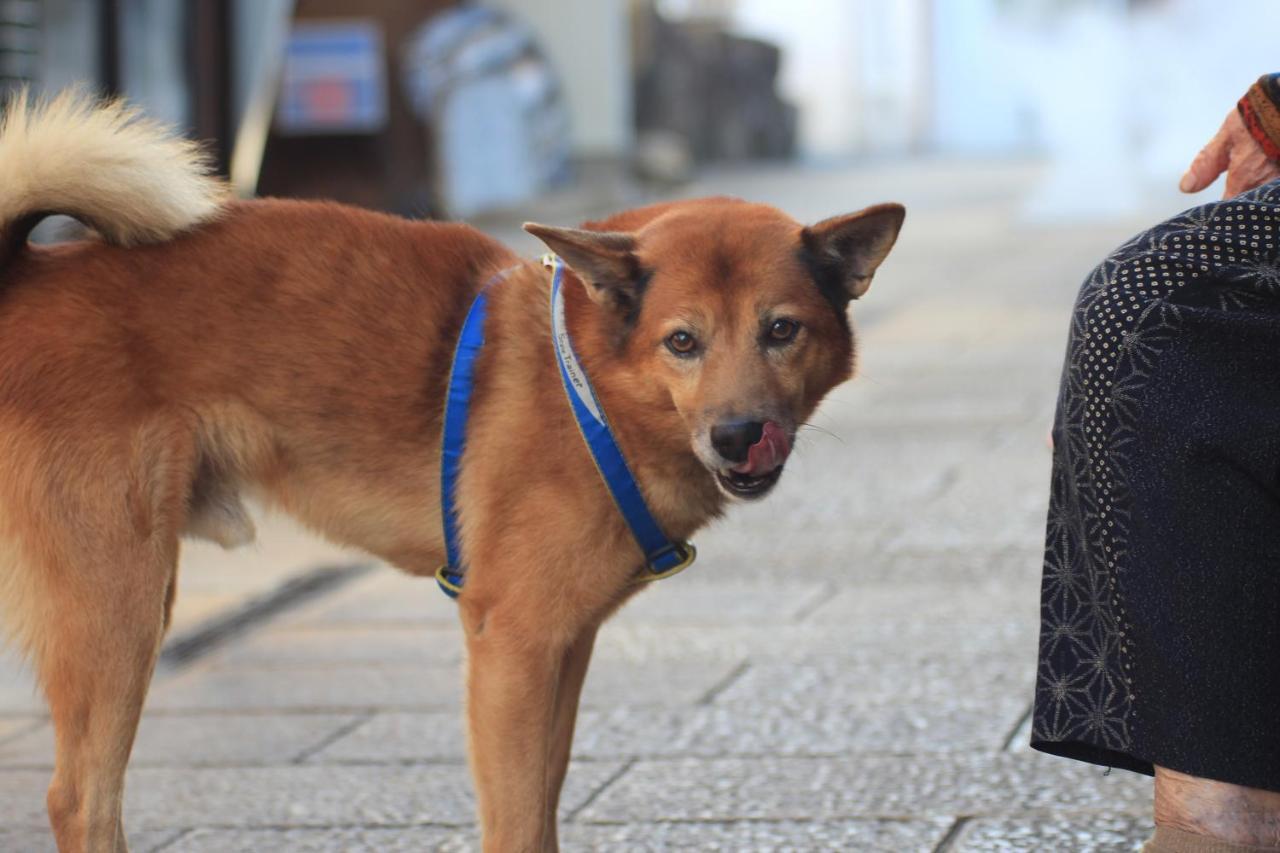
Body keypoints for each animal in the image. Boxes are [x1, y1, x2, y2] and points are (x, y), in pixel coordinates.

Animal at [0, 91, 901, 850]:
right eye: (683, 341)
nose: (741, 435)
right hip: (116, 605)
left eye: (781, 330)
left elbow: (544, 802)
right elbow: (518, 824)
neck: (592, 385)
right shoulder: (511, 645)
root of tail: (24, 275)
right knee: (79, 798)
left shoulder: (562, 646)